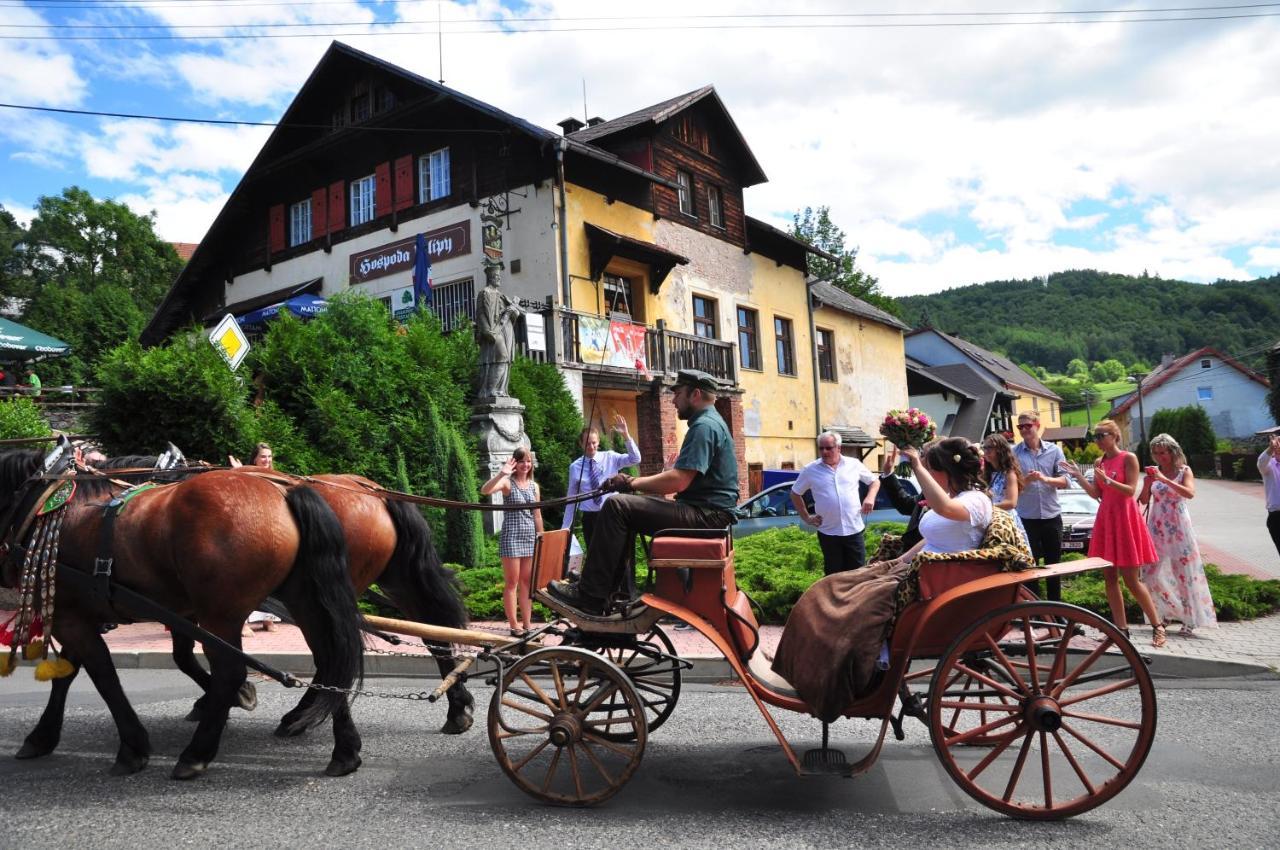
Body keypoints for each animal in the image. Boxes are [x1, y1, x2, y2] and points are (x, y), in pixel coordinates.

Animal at [2, 448, 368, 778]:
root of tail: (285, 492)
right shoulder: (87, 612)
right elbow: (70, 673)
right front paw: (43, 736)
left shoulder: (71, 616)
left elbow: (102, 675)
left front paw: (132, 747)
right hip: (303, 599)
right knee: (333, 659)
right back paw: (344, 749)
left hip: (222, 613)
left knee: (232, 671)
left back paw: (197, 753)